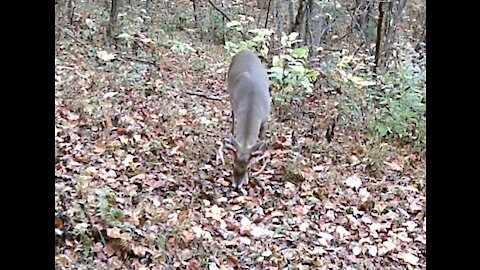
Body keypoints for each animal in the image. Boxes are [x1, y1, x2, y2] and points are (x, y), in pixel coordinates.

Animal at [221, 50, 270, 190]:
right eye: (232, 164)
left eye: (248, 167)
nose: (237, 186)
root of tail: (245, 50)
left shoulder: (265, 119)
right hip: (230, 95)